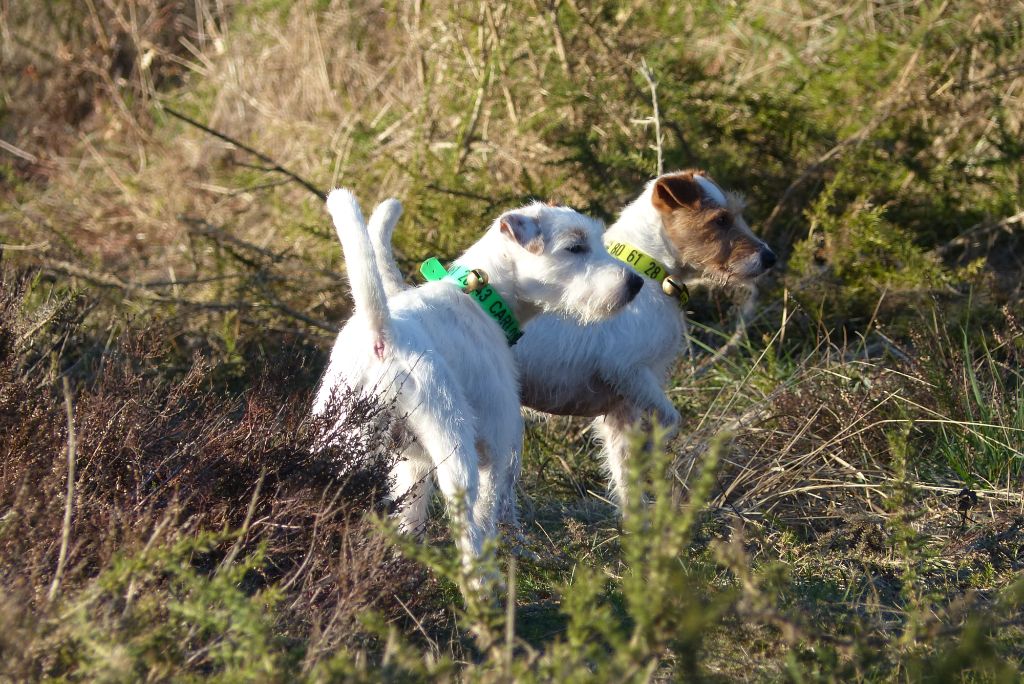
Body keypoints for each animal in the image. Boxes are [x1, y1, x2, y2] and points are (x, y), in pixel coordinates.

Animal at [315, 187, 643, 565]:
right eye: (575, 247)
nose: (636, 282)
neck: (484, 298)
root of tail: (383, 337)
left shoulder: (413, 465)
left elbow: (410, 517)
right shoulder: (498, 447)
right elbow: (491, 514)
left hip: (338, 442)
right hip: (454, 449)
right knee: (469, 530)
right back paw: (483, 578)